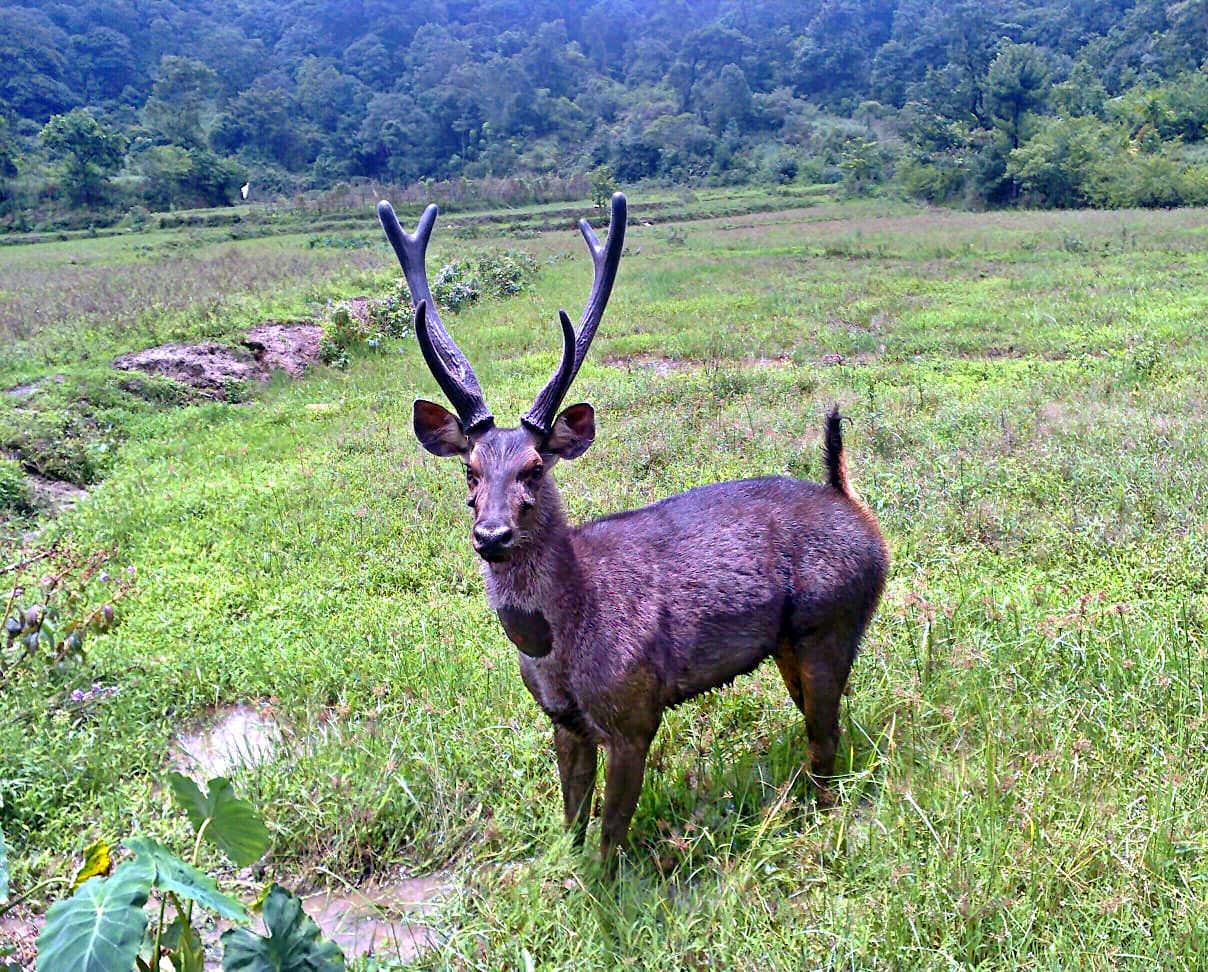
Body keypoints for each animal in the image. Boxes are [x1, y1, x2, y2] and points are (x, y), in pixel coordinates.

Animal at [376, 193, 889, 869]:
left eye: (535, 467)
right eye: (470, 468)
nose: (491, 534)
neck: (561, 646)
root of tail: (855, 507)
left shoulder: (633, 711)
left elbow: (608, 840)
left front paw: (605, 886)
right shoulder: (562, 719)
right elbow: (572, 824)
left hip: (832, 620)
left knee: (825, 734)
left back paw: (813, 817)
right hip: (789, 642)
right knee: (822, 723)